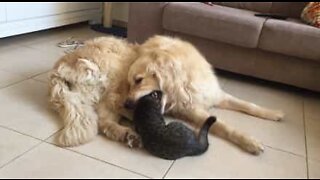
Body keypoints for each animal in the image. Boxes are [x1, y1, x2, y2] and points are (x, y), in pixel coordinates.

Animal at [124, 35, 284, 155]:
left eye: (139, 80)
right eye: (129, 84)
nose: (126, 104)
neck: (185, 84)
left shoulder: (215, 94)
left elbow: (249, 105)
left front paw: (273, 113)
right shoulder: (193, 111)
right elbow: (222, 125)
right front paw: (249, 141)